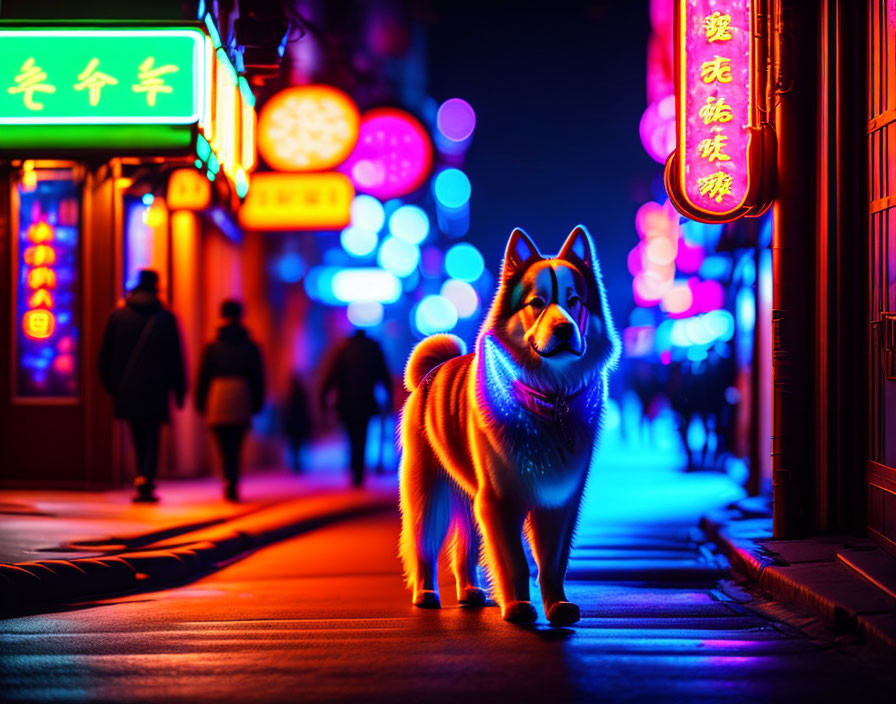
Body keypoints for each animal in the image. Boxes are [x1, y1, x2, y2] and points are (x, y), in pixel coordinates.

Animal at [398, 223, 616, 624]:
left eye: (575, 301)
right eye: (537, 303)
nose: (564, 329)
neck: (550, 396)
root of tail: (433, 370)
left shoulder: (560, 501)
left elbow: (553, 562)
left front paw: (557, 606)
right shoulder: (500, 499)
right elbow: (514, 559)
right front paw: (517, 608)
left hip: (468, 494)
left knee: (464, 544)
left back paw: (469, 592)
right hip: (428, 489)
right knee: (424, 542)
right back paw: (426, 594)